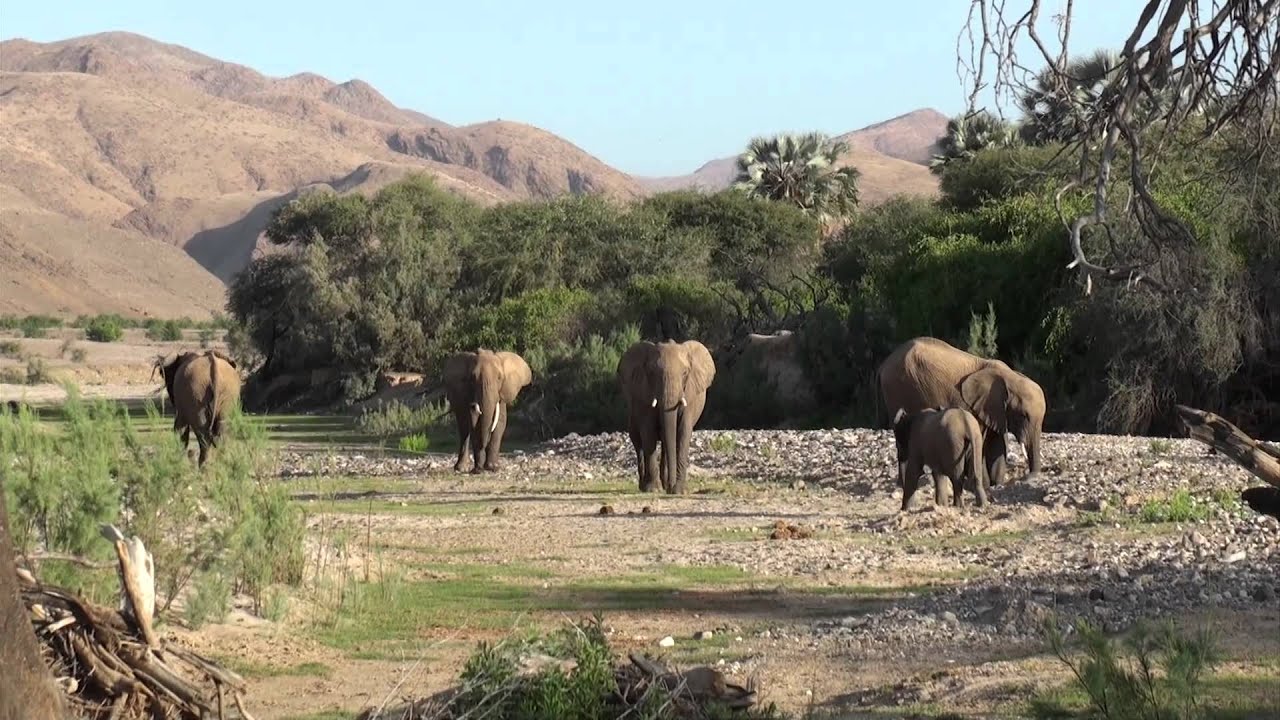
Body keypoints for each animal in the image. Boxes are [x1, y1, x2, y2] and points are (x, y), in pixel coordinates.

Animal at [617, 339, 716, 494]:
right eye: (651, 373)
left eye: (685, 373)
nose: (672, 487)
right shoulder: (644, 394)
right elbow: (648, 432)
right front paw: (653, 489)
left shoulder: (689, 394)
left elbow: (683, 433)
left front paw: (679, 491)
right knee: (638, 442)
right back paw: (645, 486)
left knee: (664, 442)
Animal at [878, 336, 1045, 488]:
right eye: (1023, 416)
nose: (1024, 478)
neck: (1010, 376)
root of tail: (885, 363)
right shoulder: (974, 405)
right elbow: (980, 442)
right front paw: (983, 484)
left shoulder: (994, 410)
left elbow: (997, 444)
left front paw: (995, 485)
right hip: (896, 391)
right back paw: (906, 484)